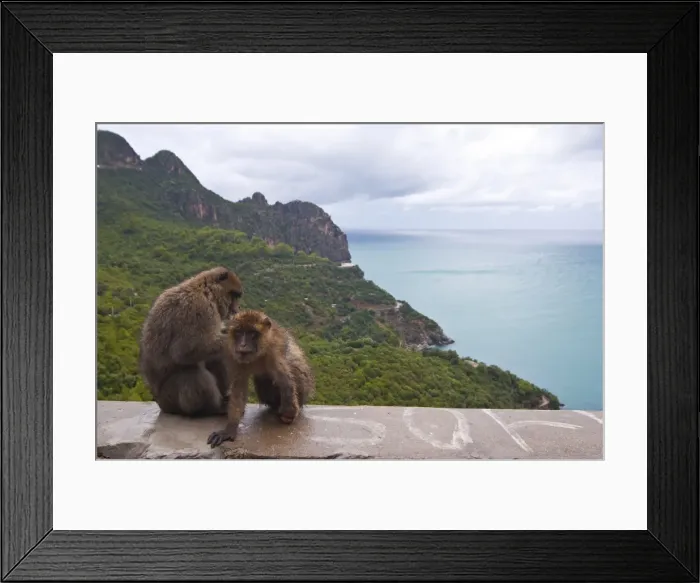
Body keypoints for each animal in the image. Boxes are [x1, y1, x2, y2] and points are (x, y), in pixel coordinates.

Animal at [138, 266, 243, 418]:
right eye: (234, 295)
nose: (237, 309)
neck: (206, 291)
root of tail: (161, 404)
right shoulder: (199, 309)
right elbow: (184, 350)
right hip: (170, 399)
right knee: (192, 372)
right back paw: (212, 408)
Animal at [207, 310, 316, 447]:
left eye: (252, 333)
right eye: (238, 332)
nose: (243, 345)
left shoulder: (273, 350)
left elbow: (285, 381)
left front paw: (289, 414)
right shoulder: (233, 354)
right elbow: (238, 388)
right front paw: (230, 428)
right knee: (262, 380)